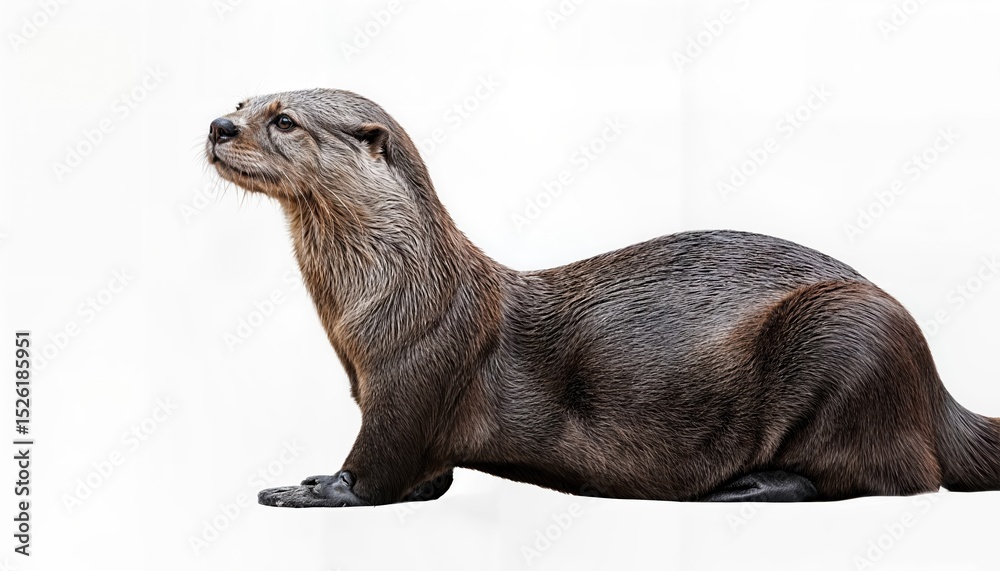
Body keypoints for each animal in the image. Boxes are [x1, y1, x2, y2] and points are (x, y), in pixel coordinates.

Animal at [205, 88, 1000, 507]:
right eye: (241, 101)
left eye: (283, 119)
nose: (218, 125)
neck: (399, 299)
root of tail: (935, 388)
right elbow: (427, 480)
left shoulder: (416, 376)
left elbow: (378, 465)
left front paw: (311, 488)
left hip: (848, 334)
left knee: (903, 478)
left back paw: (754, 483)